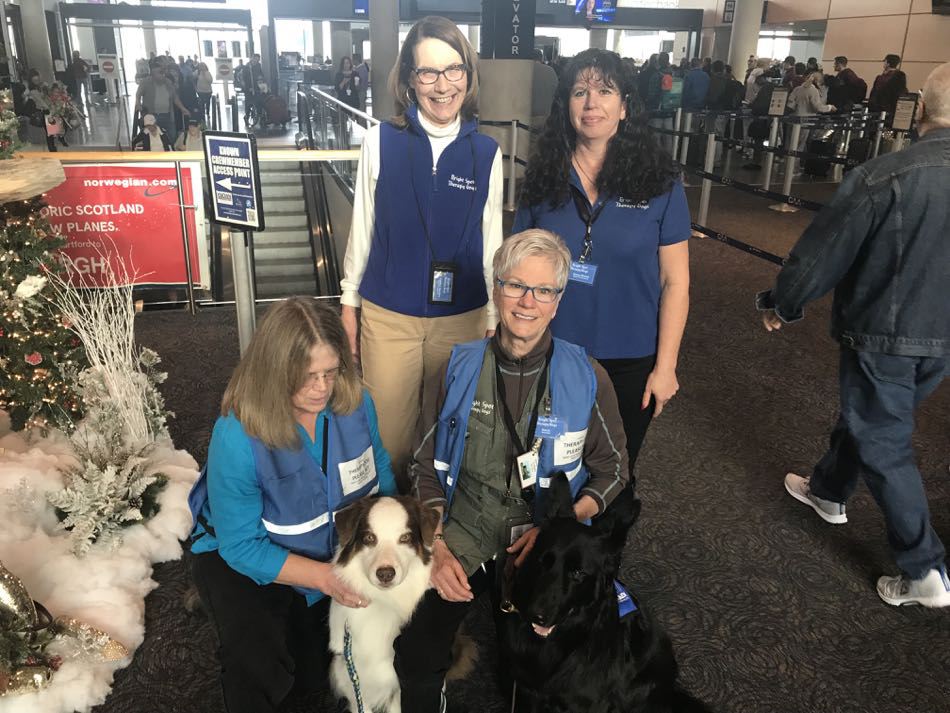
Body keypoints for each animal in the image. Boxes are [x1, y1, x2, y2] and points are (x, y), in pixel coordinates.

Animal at [330, 496, 440, 712]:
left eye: (405, 538)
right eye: (369, 538)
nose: (386, 574)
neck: (385, 601)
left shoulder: (396, 684)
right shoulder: (354, 678)